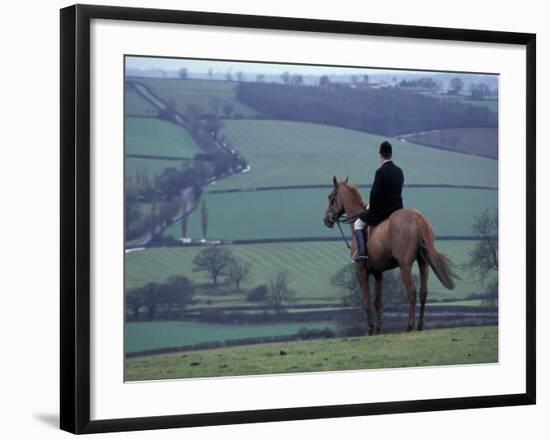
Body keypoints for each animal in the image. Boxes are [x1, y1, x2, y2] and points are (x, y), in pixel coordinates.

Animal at [324, 177, 458, 336]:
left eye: (331, 197)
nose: (326, 220)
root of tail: (418, 219)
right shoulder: (378, 273)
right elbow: (378, 302)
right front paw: (379, 330)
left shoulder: (360, 271)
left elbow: (366, 301)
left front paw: (370, 330)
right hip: (423, 264)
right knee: (423, 293)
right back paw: (420, 326)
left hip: (404, 266)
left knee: (412, 292)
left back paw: (409, 326)